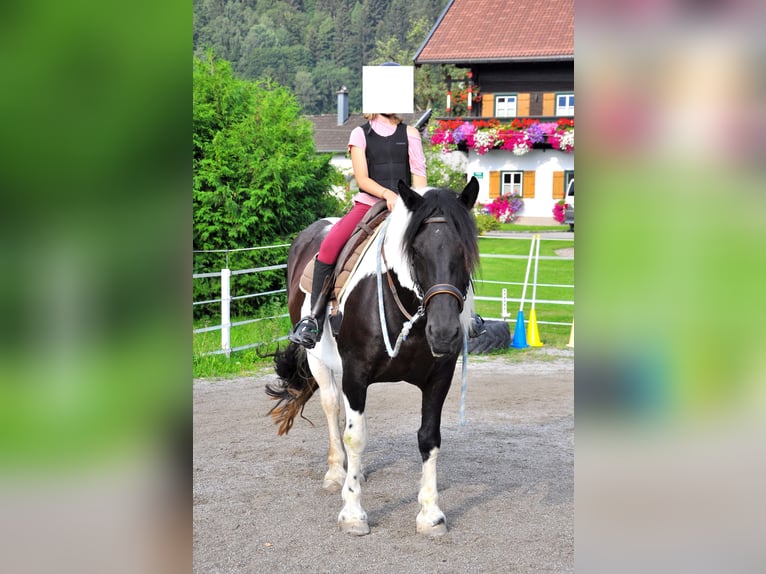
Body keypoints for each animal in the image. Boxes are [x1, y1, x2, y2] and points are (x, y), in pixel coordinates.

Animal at [268, 178, 476, 536]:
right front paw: (352, 513)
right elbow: (355, 437)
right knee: (331, 406)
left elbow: (429, 438)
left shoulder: (439, 377)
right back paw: (337, 472)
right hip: (318, 360)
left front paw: (430, 514)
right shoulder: (355, 374)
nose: (444, 332)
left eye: (465, 251)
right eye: (415, 252)